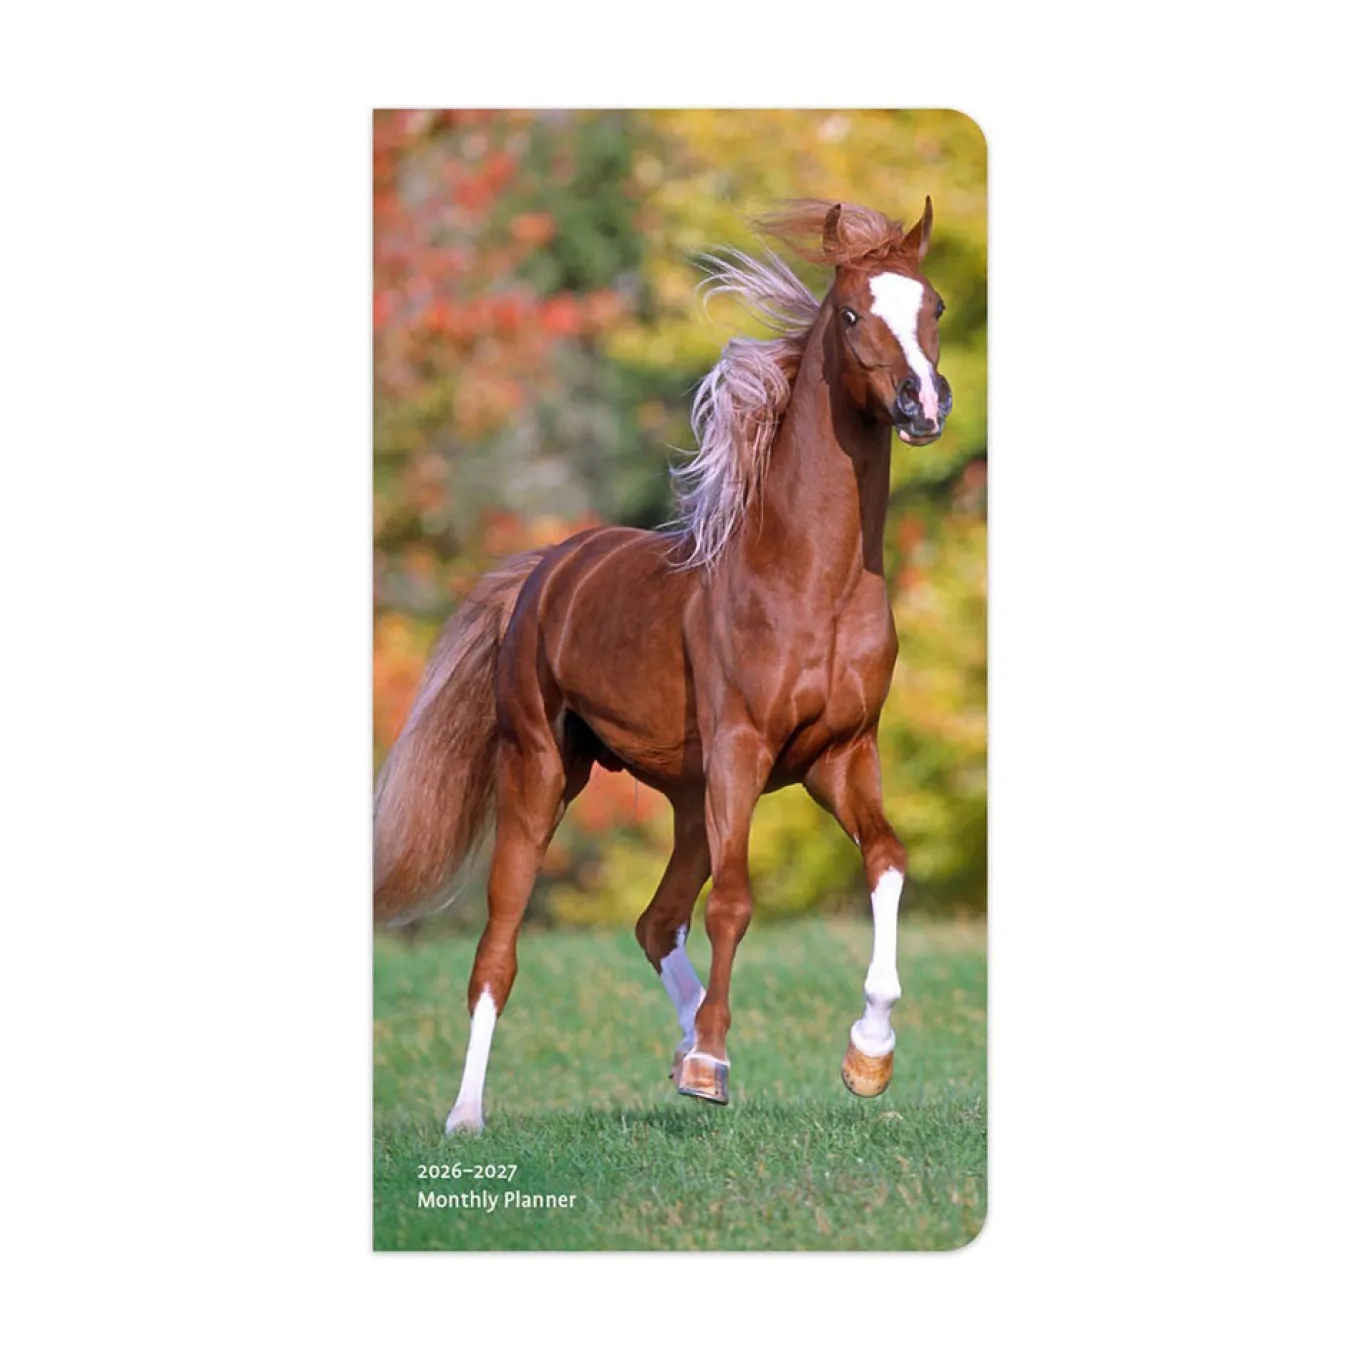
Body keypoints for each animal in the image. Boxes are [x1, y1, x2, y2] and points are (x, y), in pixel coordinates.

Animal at [374, 198, 953, 1133]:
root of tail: (546, 570)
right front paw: (712, 1064)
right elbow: (736, 903)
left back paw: (682, 1051)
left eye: (932, 303)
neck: (810, 579)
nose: (924, 403)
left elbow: (888, 860)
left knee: (654, 922)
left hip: (689, 799)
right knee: (498, 951)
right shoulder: (744, 752)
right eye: (851, 312)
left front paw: (868, 1057)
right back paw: (470, 1114)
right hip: (544, 773)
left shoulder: (840, 756)